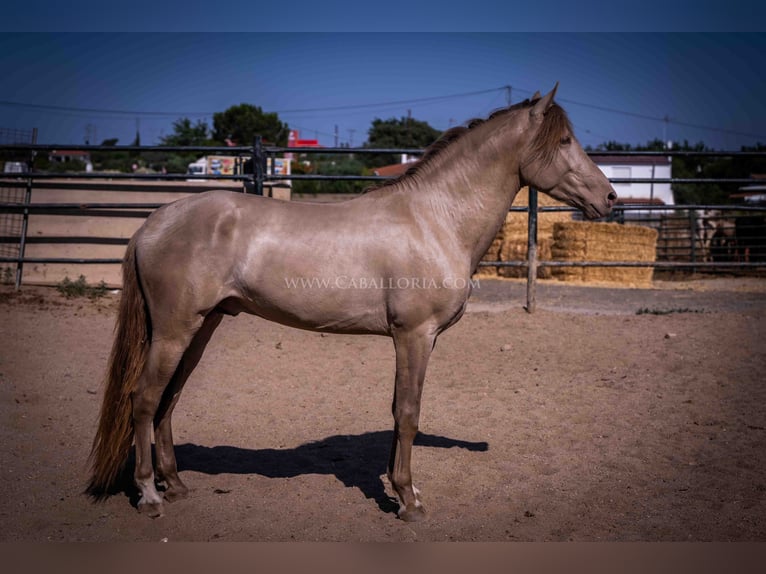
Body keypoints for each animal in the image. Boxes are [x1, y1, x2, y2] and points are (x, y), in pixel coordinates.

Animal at [87, 84, 620, 520]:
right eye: (565, 141)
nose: (611, 198)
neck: (434, 218)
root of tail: (152, 223)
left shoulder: (417, 340)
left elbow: (396, 411)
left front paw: (402, 489)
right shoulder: (414, 335)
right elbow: (409, 413)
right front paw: (408, 501)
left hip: (202, 327)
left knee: (169, 399)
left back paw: (175, 485)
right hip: (175, 330)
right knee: (144, 399)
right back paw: (149, 495)